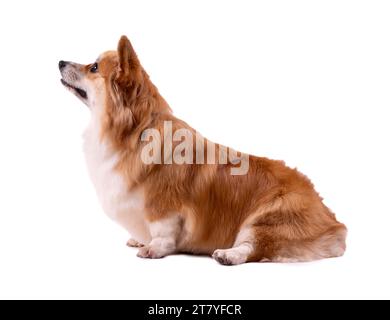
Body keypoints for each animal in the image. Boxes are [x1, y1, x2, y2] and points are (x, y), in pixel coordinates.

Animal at [58, 35, 348, 264]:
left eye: (93, 67)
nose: (60, 62)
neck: (135, 132)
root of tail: (331, 217)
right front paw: (139, 240)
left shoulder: (164, 206)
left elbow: (163, 232)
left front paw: (153, 248)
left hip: (267, 219)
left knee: (254, 246)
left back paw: (228, 255)